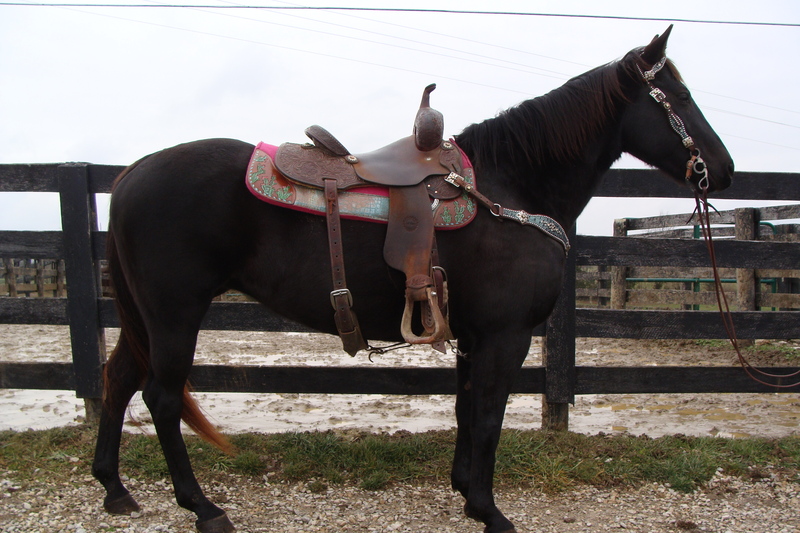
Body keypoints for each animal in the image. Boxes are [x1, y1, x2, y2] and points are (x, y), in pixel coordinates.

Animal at [91, 26, 734, 533]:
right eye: (678, 96)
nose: (723, 170)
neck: (509, 189)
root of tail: (131, 174)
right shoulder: (505, 336)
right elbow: (489, 416)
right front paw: (489, 511)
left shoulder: (475, 335)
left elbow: (466, 409)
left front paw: (465, 490)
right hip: (175, 314)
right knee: (161, 397)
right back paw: (203, 508)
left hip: (146, 317)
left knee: (119, 379)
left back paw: (115, 489)